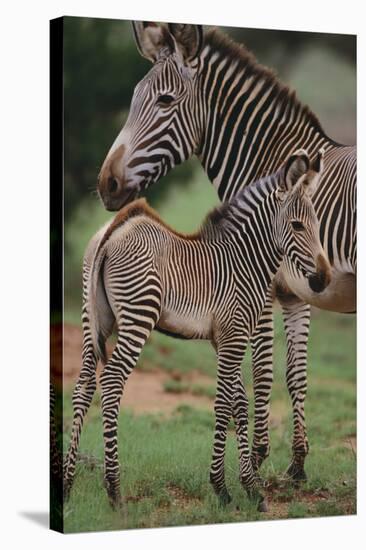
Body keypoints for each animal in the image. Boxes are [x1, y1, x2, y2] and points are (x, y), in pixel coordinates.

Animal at [64, 149, 330, 512]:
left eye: (317, 225)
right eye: (297, 225)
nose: (324, 279)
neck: (244, 261)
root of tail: (116, 228)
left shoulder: (224, 339)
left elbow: (239, 404)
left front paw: (250, 486)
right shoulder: (233, 335)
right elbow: (223, 404)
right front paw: (222, 487)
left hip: (94, 318)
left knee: (83, 387)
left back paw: (66, 484)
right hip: (138, 315)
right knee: (112, 381)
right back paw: (114, 490)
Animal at [96, 21, 354, 480]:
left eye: (165, 100)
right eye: (133, 99)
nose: (106, 184)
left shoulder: (263, 286)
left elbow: (261, 372)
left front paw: (255, 459)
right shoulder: (296, 291)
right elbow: (295, 374)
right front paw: (296, 463)